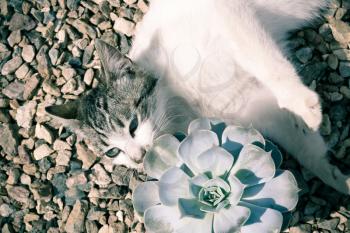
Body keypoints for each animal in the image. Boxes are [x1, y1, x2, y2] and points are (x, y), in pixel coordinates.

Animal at [45, 0, 350, 195]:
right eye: (112, 152)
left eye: (132, 125)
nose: (137, 158)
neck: (179, 102)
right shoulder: (252, 106)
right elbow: (304, 146)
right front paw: (337, 177)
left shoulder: (227, 12)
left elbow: (266, 63)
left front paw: (303, 105)